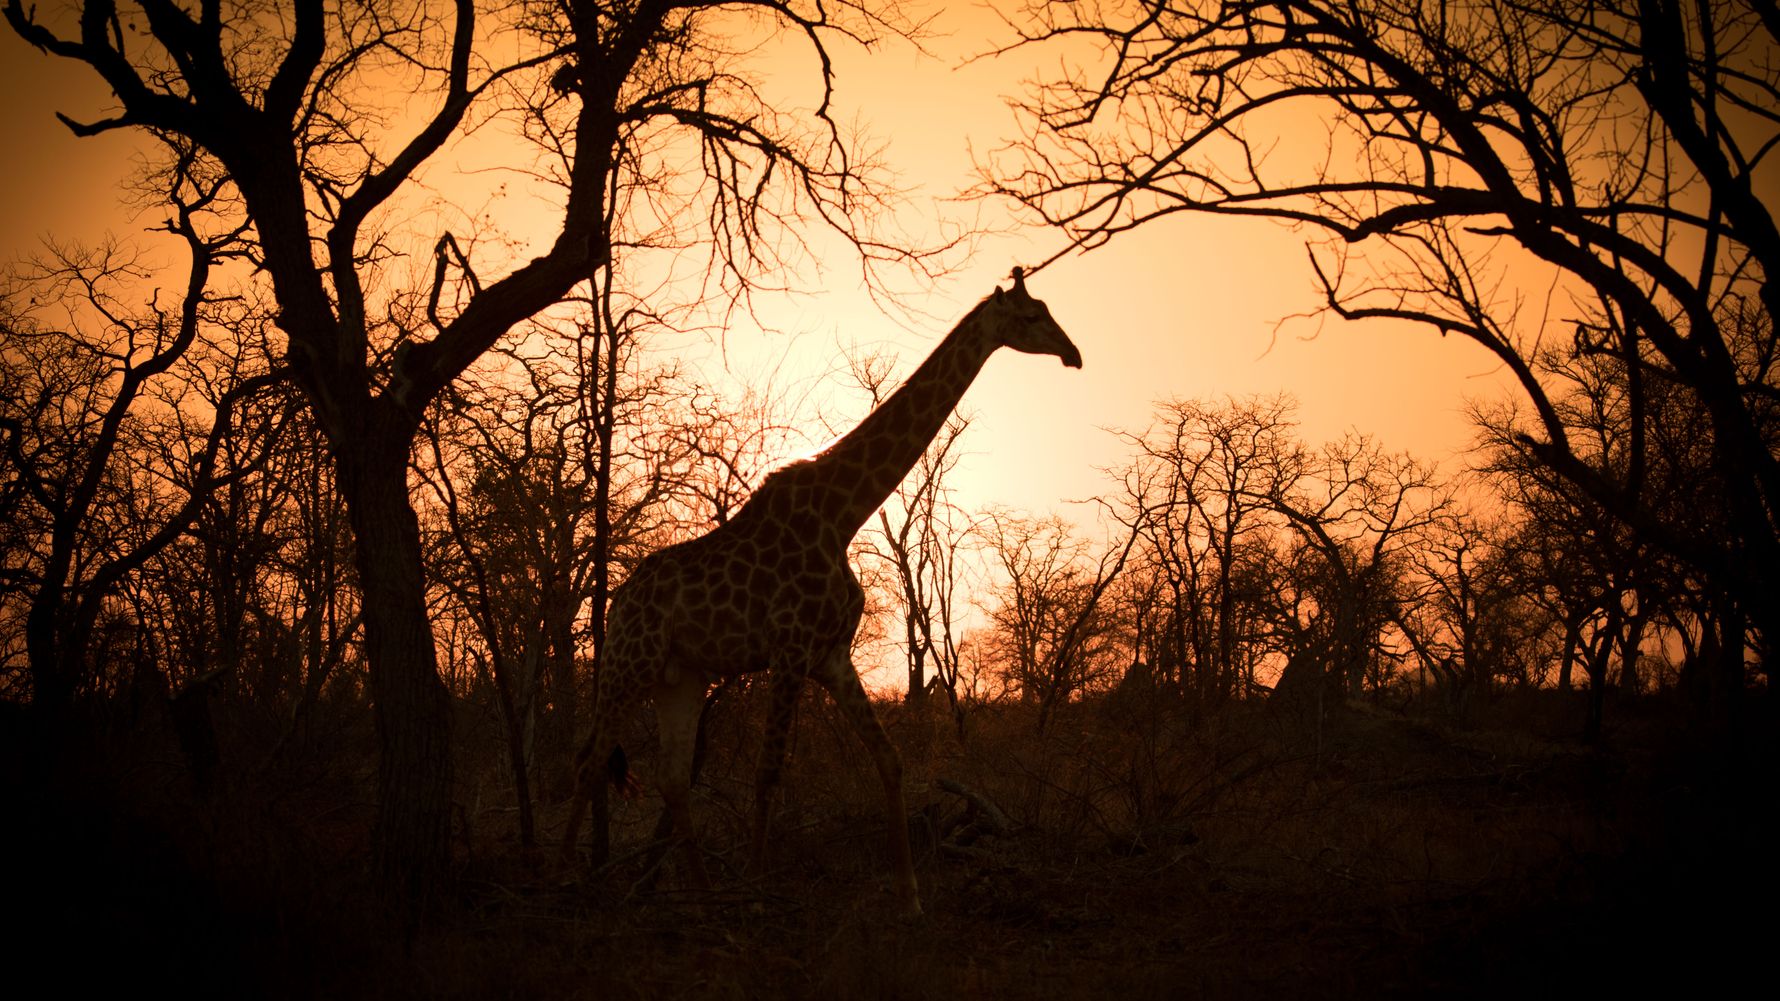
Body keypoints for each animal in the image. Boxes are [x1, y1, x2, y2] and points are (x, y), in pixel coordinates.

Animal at [562, 267, 1081, 916]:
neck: (844, 514)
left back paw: (703, 900)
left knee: (672, 778)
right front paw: (758, 894)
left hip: (679, 678)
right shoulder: (788, 651)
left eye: (1050, 311)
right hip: (627, 667)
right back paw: (567, 883)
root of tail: (617, 604)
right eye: (1033, 316)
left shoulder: (831, 655)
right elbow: (768, 774)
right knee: (587, 763)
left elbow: (889, 758)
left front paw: (910, 897)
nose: (1074, 354)